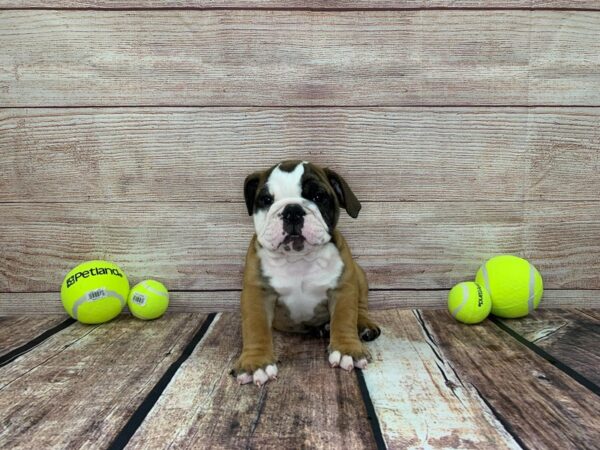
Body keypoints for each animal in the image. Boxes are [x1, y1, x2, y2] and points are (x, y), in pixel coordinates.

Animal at [234, 161, 380, 386]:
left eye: (318, 196)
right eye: (266, 200)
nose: (292, 210)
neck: (298, 258)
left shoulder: (343, 288)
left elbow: (345, 319)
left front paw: (347, 349)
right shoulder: (257, 293)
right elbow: (255, 327)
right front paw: (256, 363)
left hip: (360, 275)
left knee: (361, 307)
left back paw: (363, 324)